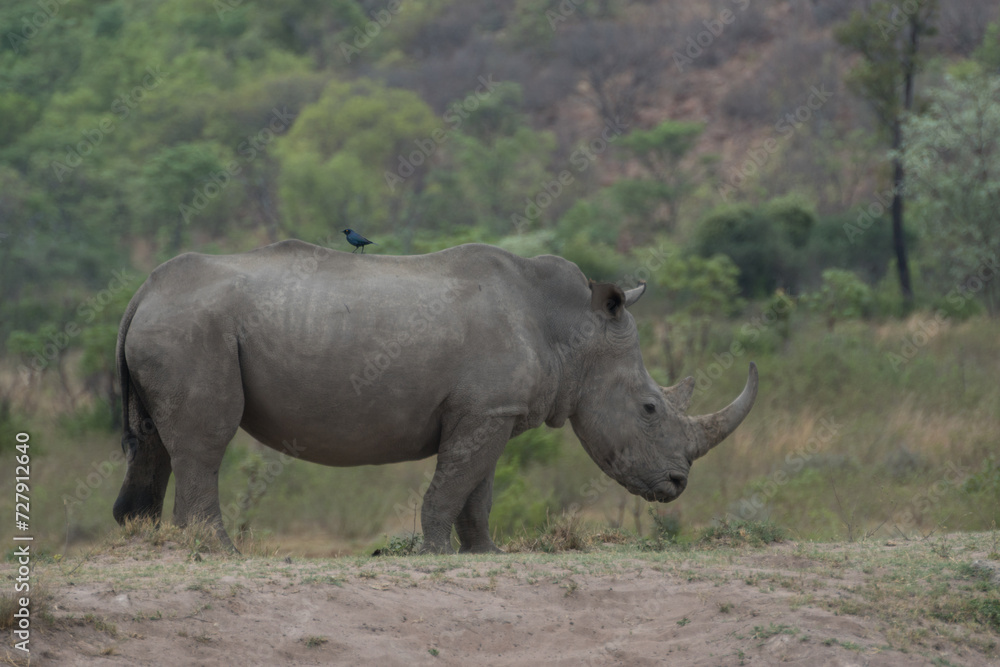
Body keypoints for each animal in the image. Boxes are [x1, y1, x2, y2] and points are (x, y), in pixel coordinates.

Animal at [115, 240, 756, 552]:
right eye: (650, 409)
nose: (677, 485)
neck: (572, 329)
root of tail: (144, 289)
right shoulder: (482, 411)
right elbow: (454, 482)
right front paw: (434, 552)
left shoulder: (492, 412)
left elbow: (479, 488)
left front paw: (483, 554)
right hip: (194, 327)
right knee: (205, 441)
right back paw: (219, 552)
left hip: (176, 325)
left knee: (157, 442)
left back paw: (148, 539)